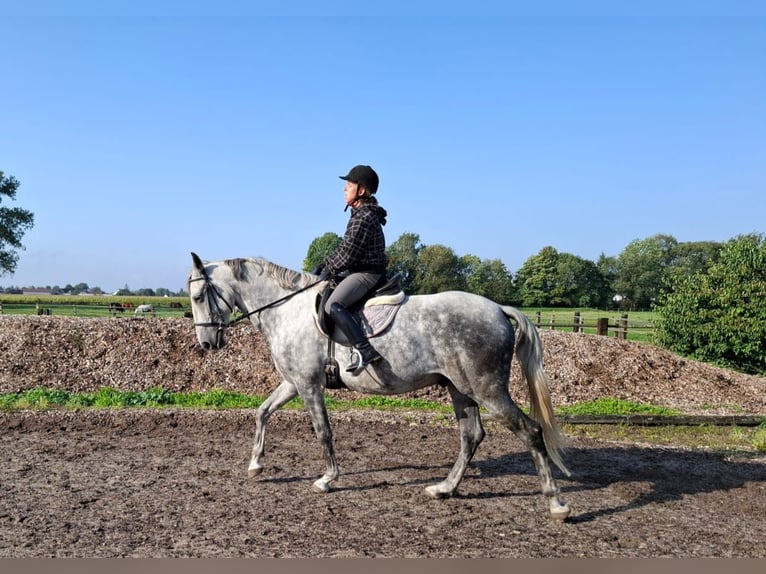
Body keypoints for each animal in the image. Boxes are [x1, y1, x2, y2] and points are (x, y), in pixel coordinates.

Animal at [186, 253, 568, 520]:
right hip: (460, 388)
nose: (206, 343)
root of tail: (499, 310)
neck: (287, 310)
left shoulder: (309, 385)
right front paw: (256, 465)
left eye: (199, 295)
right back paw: (444, 489)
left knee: (530, 431)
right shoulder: (293, 382)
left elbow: (323, 431)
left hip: (486, 389)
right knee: (471, 435)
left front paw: (327, 479)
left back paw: (556, 504)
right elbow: (262, 412)